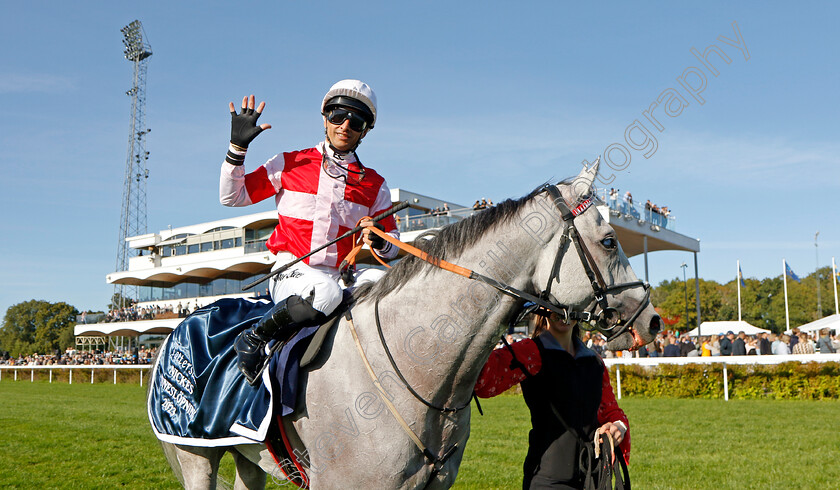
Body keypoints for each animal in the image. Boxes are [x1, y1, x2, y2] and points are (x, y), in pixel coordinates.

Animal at [154, 160, 660, 486]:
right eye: (610, 240)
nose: (652, 321)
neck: (420, 369)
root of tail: (181, 326)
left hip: (250, 457)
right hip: (194, 456)